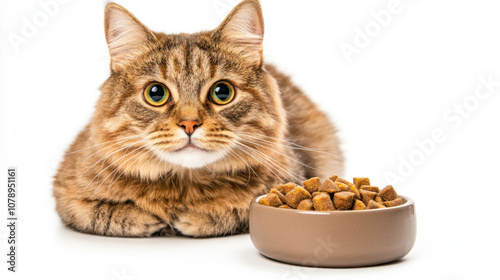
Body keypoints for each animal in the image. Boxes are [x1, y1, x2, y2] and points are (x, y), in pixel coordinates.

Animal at [53, 0, 344, 237]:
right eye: (155, 93)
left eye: (222, 92)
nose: (189, 124)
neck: (183, 186)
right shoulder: (67, 195)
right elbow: (101, 213)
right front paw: (147, 219)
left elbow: (238, 210)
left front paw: (194, 219)